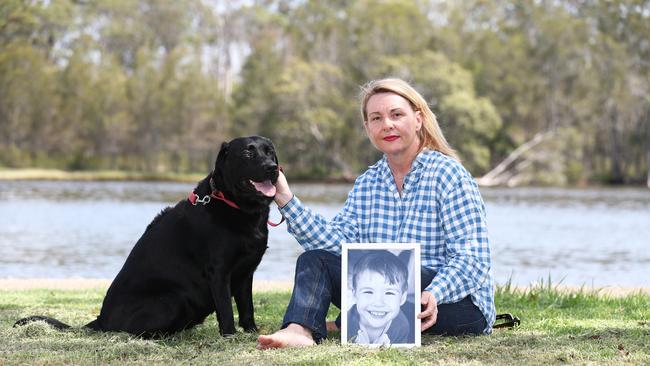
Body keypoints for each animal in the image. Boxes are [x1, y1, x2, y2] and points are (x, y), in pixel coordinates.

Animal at [15, 135, 278, 338]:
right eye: (247, 153)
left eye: (270, 152)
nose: (272, 168)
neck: (236, 206)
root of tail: (101, 319)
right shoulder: (219, 272)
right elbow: (226, 311)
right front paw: (230, 336)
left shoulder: (245, 272)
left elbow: (247, 308)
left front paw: (252, 332)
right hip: (172, 299)